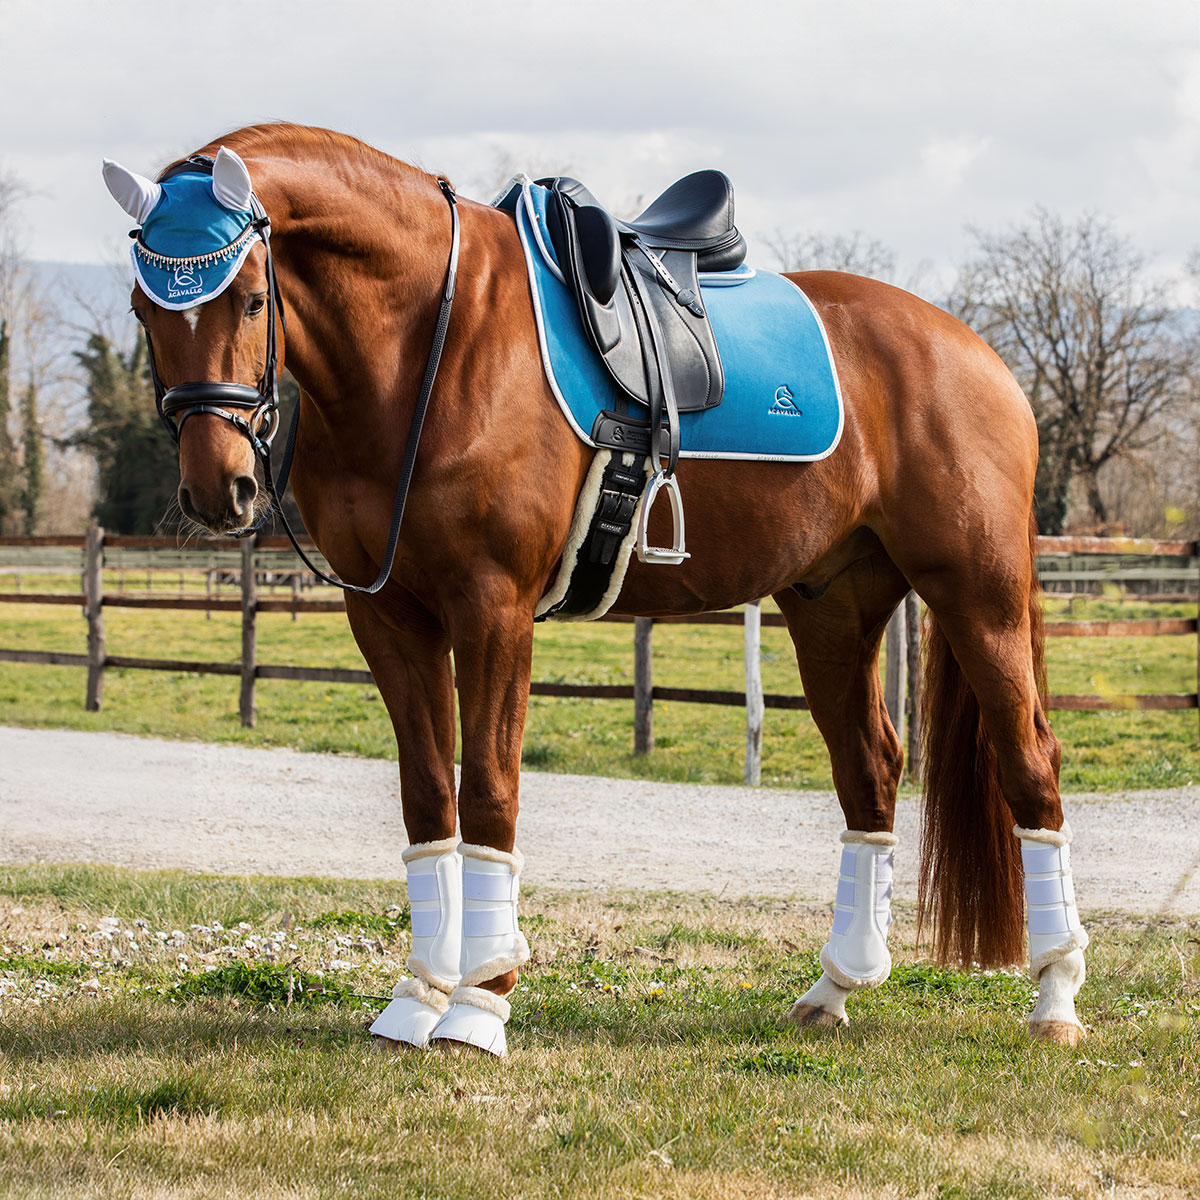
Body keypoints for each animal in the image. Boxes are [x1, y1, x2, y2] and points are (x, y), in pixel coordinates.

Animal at [101, 123, 1089, 1056]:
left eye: (251, 296)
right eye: (146, 306)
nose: (216, 489)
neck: (427, 345)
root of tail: (977, 353)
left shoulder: (492, 607)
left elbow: (489, 790)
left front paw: (479, 1006)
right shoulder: (386, 614)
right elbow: (427, 798)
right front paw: (416, 997)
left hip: (977, 594)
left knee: (1030, 763)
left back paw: (1054, 997)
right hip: (833, 609)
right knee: (872, 770)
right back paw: (836, 986)